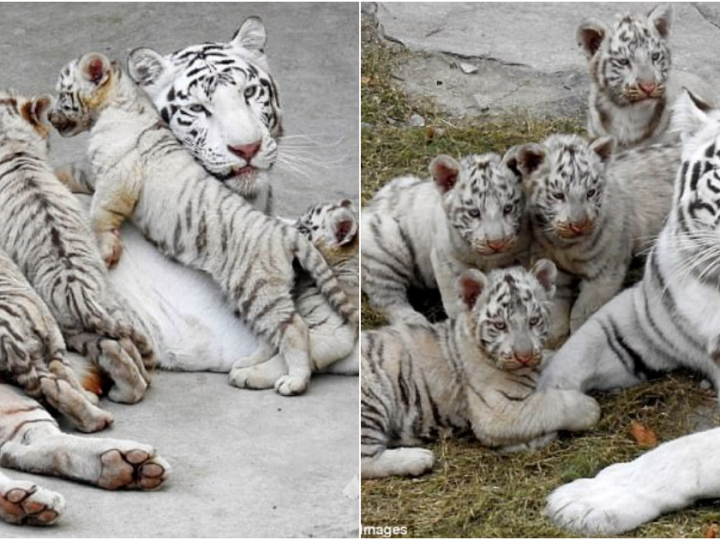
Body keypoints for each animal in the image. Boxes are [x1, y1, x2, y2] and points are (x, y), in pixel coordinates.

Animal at [47, 51, 358, 396]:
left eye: (62, 94)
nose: (49, 116)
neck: (119, 101)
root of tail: (286, 233)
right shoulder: (98, 168)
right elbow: (76, 171)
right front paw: (52, 172)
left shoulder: (120, 172)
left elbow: (103, 210)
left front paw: (104, 249)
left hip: (257, 288)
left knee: (295, 328)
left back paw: (293, 381)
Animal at [360, 260, 600, 476]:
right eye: (500, 325)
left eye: (533, 321)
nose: (524, 356)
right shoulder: (498, 410)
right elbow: (549, 404)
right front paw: (589, 409)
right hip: (372, 400)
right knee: (366, 460)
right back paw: (419, 459)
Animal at [362, 151, 524, 324]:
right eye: (474, 213)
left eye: (508, 208)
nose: (496, 243)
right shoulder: (446, 260)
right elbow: (456, 301)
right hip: (385, 249)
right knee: (385, 297)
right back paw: (414, 319)